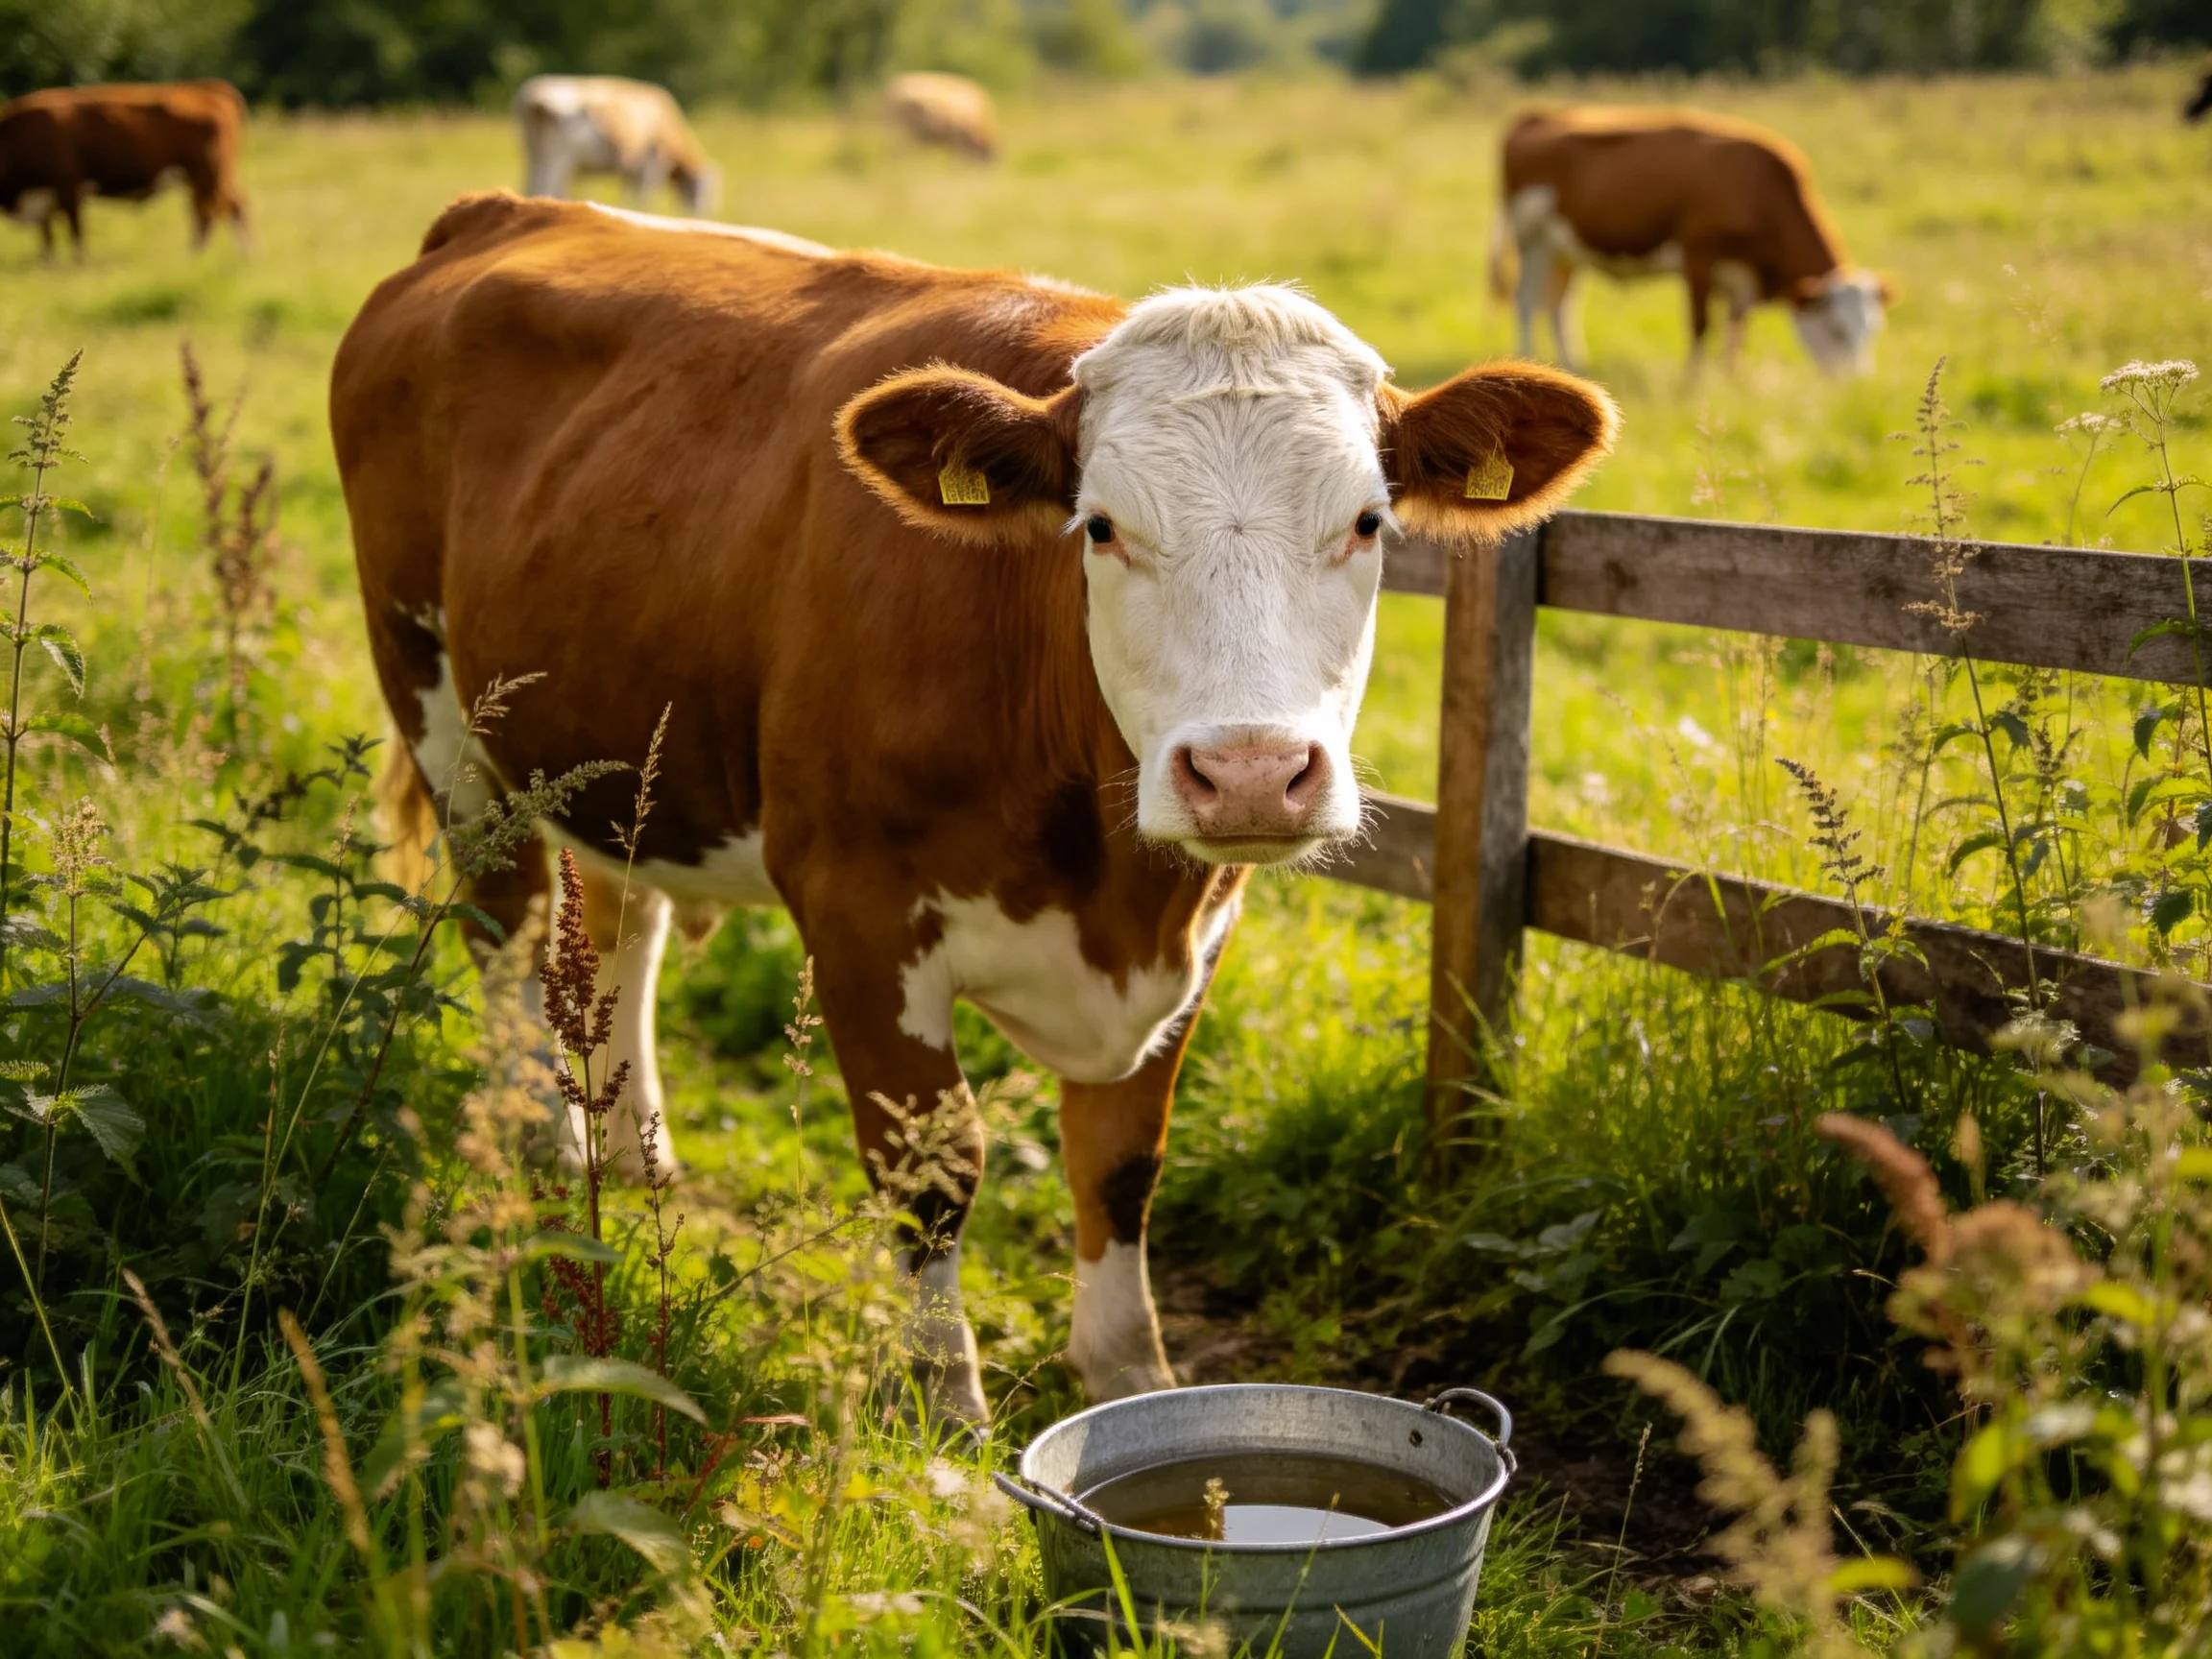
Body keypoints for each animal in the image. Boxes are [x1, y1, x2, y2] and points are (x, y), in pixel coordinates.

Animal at [0, 80, 248, 259]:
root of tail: (205, 88)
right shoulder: (42, 199)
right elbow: (47, 239)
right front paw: (49, 266)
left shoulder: (69, 188)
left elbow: (76, 234)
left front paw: (78, 266)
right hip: (204, 180)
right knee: (218, 211)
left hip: (208, 177)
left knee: (217, 213)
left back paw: (207, 256)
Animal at [331, 191, 1616, 1421]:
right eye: (1100, 525)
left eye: (1368, 523)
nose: (1250, 771)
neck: (1112, 893)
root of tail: (506, 208)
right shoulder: (856, 909)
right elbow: (935, 1165)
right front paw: (945, 1405)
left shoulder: (1199, 928)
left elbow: (1122, 1160)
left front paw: (1129, 1374)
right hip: (436, 704)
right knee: (506, 925)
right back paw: (530, 1148)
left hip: (624, 745)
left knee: (619, 923)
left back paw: (630, 1148)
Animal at [514, 76, 720, 215]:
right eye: (704, 189)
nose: (704, 212)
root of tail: (535, 94)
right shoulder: (651, 164)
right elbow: (646, 194)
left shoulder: (631, 169)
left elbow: (629, 193)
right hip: (558, 156)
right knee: (547, 186)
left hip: (534, 153)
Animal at [1490, 106, 1889, 375]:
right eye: (1838, 331)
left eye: (1873, 330)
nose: (1856, 386)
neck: (1758, 187)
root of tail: (1538, 115)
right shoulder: (1699, 256)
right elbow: (1701, 325)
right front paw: (1691, 386)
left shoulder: (1741, 275)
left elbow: (1735, 329)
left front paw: (1732, 379)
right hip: (1531, 238)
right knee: (1526, 300)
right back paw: (1526, 360)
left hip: (1566, 248)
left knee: (1559, 304)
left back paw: (1571, 364)